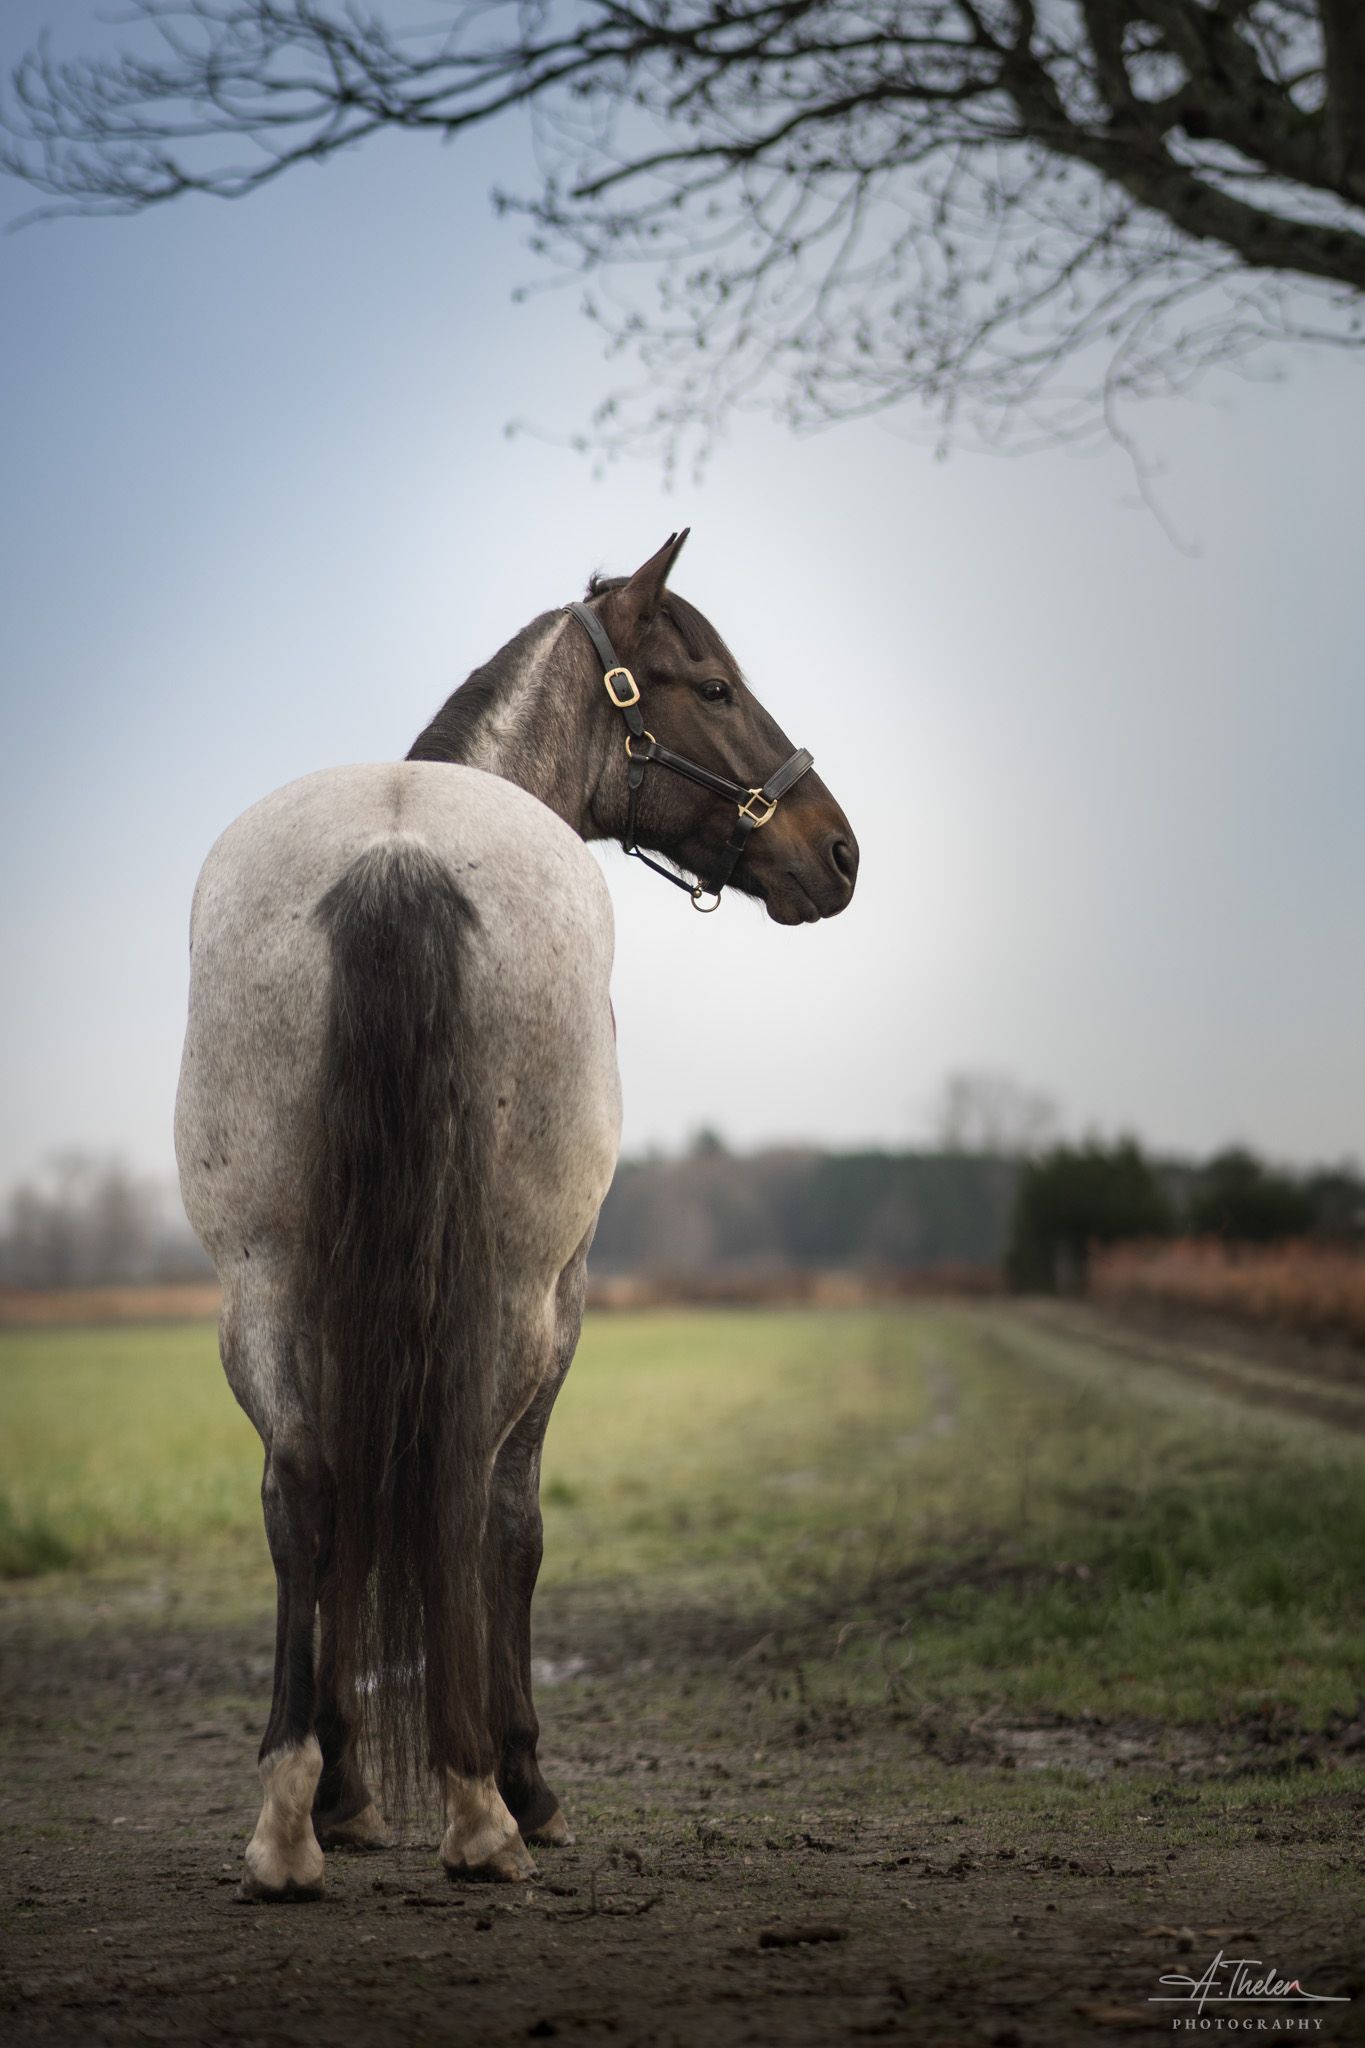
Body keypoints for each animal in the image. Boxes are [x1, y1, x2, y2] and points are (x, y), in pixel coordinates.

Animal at [174, 531, 858, 1900]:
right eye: (712, 685)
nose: (840, 849)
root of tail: (397, 857)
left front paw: (345, 1789)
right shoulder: (568, 1295)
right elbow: (515, 1527)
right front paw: (527, 1781)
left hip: (263, 1284)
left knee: (307, 1488)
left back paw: (288, 1817)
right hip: (514, 1294)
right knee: (459, 1496)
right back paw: (481, 1804)